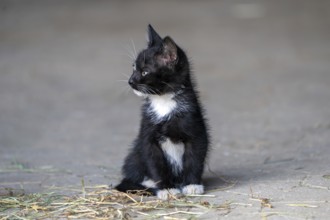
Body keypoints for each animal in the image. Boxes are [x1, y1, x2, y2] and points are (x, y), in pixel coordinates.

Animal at [116, 24, 209, 200]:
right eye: (133, 67)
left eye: (145, 72)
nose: (130, 81)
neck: (163, 101)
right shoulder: (147, 138)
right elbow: (156, 164)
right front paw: (166, 189)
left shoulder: (195, 130)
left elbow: (194, 158)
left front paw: (192, 185)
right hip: (135, 154)